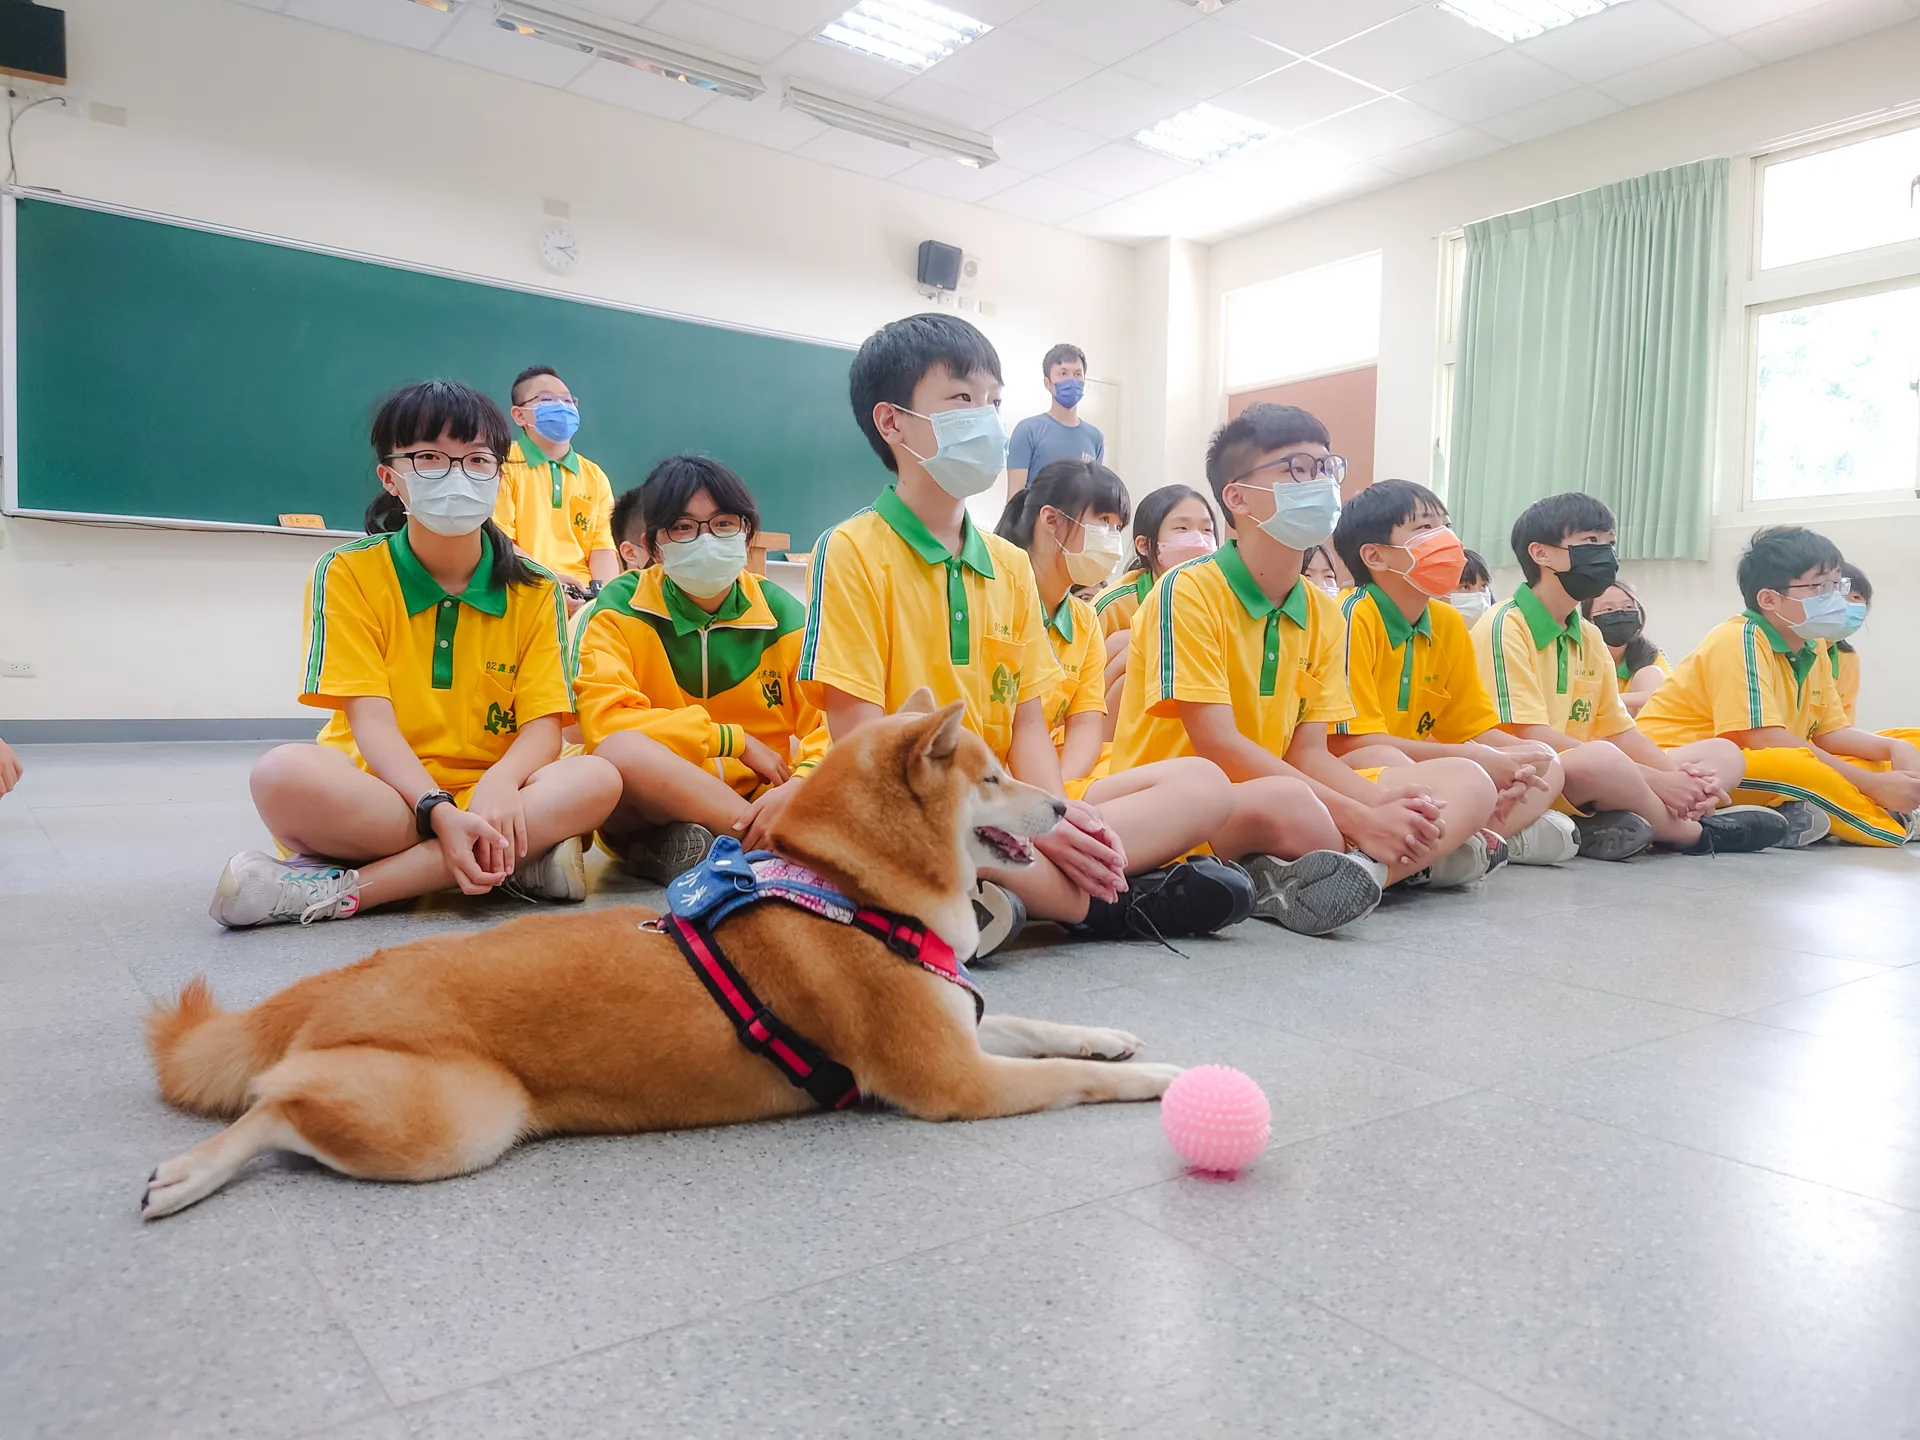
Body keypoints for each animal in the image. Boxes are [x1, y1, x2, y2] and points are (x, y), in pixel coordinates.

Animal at [142, 695, 1175, 1221]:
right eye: (993, 778)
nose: (1066, 806)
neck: (852, 890)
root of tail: (330, 983)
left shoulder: (958, 1016)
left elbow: (1040, 1026)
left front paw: (1116, 1034)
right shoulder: (954, 1078)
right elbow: (1065, 1078)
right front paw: (1164, 1076)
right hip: (460, 1118)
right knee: (272, 1112)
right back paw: (187, 1175)